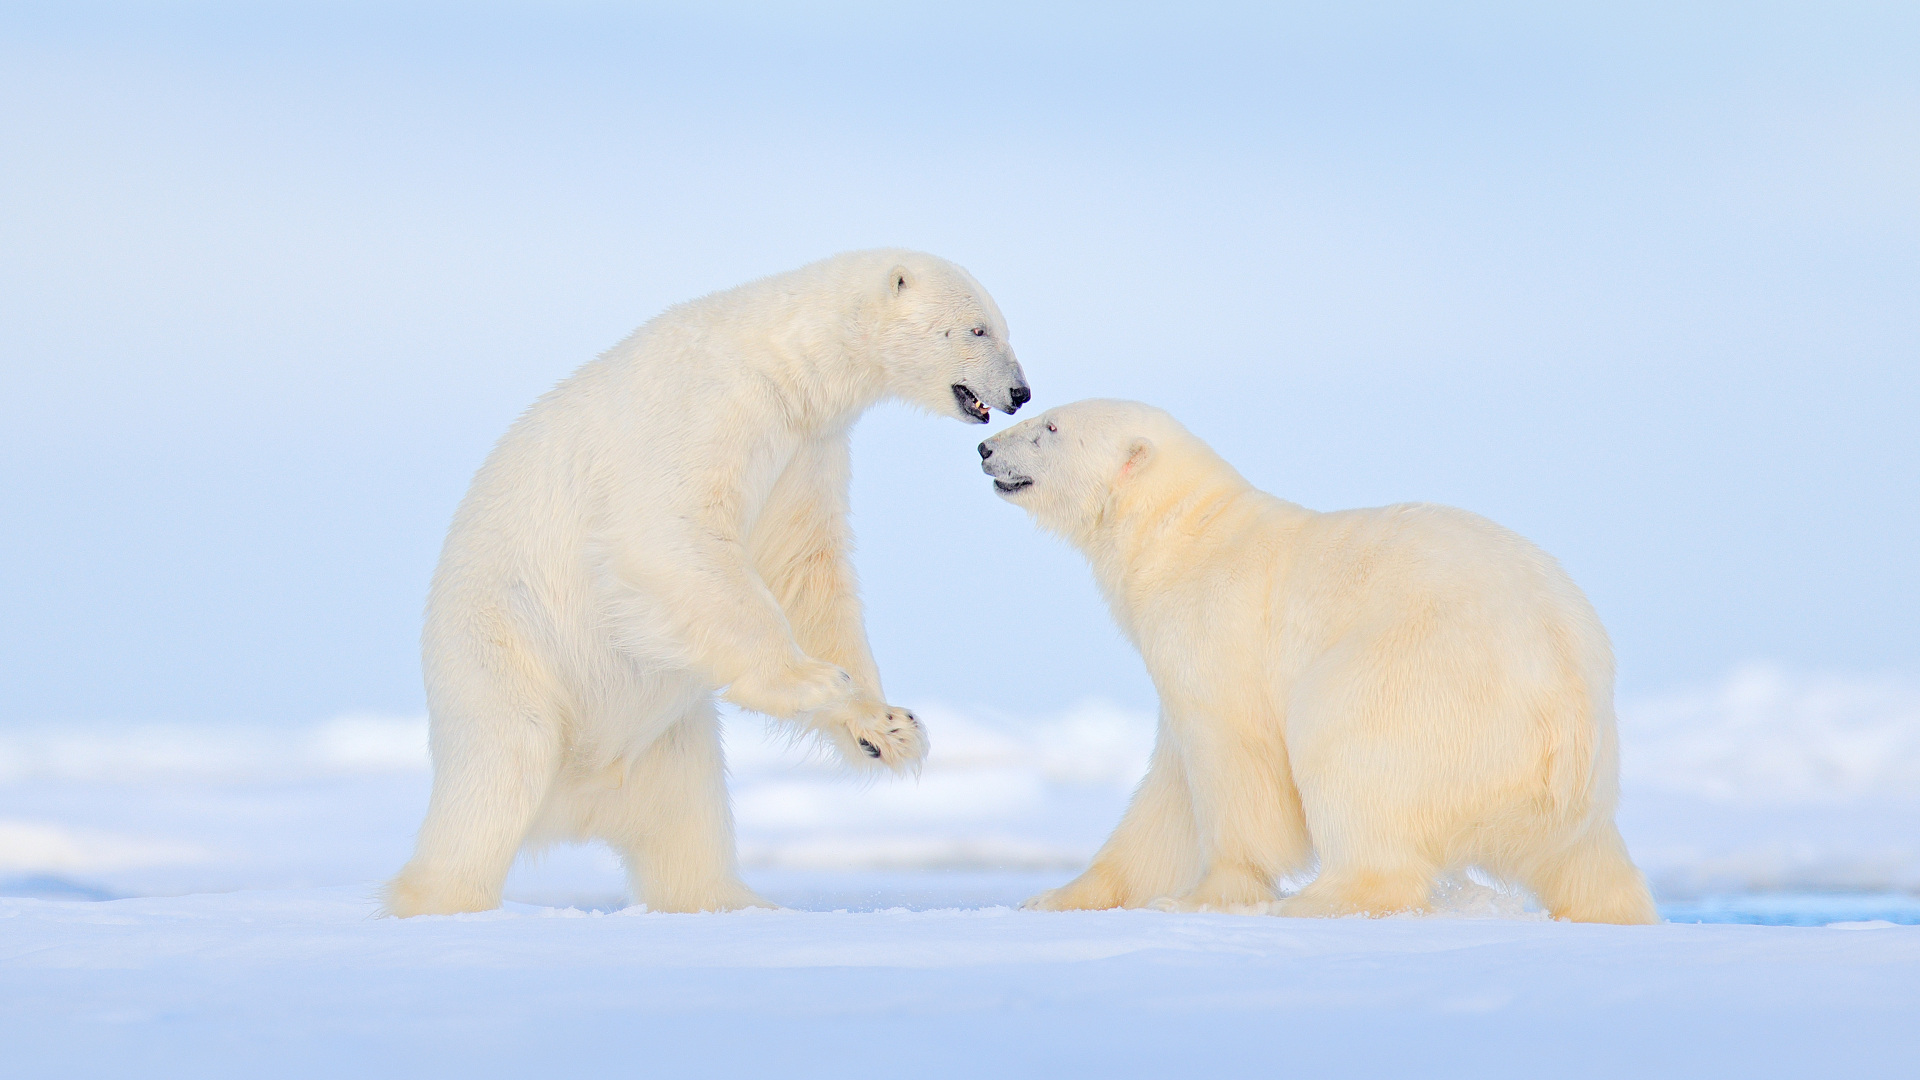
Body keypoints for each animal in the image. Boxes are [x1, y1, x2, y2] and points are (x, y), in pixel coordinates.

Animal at [382, 250, 1031, 917]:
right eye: (979, 328)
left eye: (997, 325)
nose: (1019, 393)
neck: (785, 363)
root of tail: (577, 802)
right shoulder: (710, 411)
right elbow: (674, 533)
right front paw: (814, 681)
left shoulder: (805, 451)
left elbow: (802, 570)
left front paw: (889, 728)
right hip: (503, 656)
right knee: (501, 772)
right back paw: (444, 898)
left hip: (672, 741)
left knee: (688, 827)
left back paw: (741, 902)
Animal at [979, 399, 1658, 924]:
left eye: (1051, 428)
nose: (985, 447)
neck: (1183, 533)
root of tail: (1566, 708)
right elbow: (1166, 794)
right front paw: (1056, 897)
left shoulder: (1215, 630)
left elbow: (1235, 763)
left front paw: (1205, 898)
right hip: (1569, 784)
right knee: (1586, 859)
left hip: (1421, 685)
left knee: (1347, 754)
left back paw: (1314, 901)